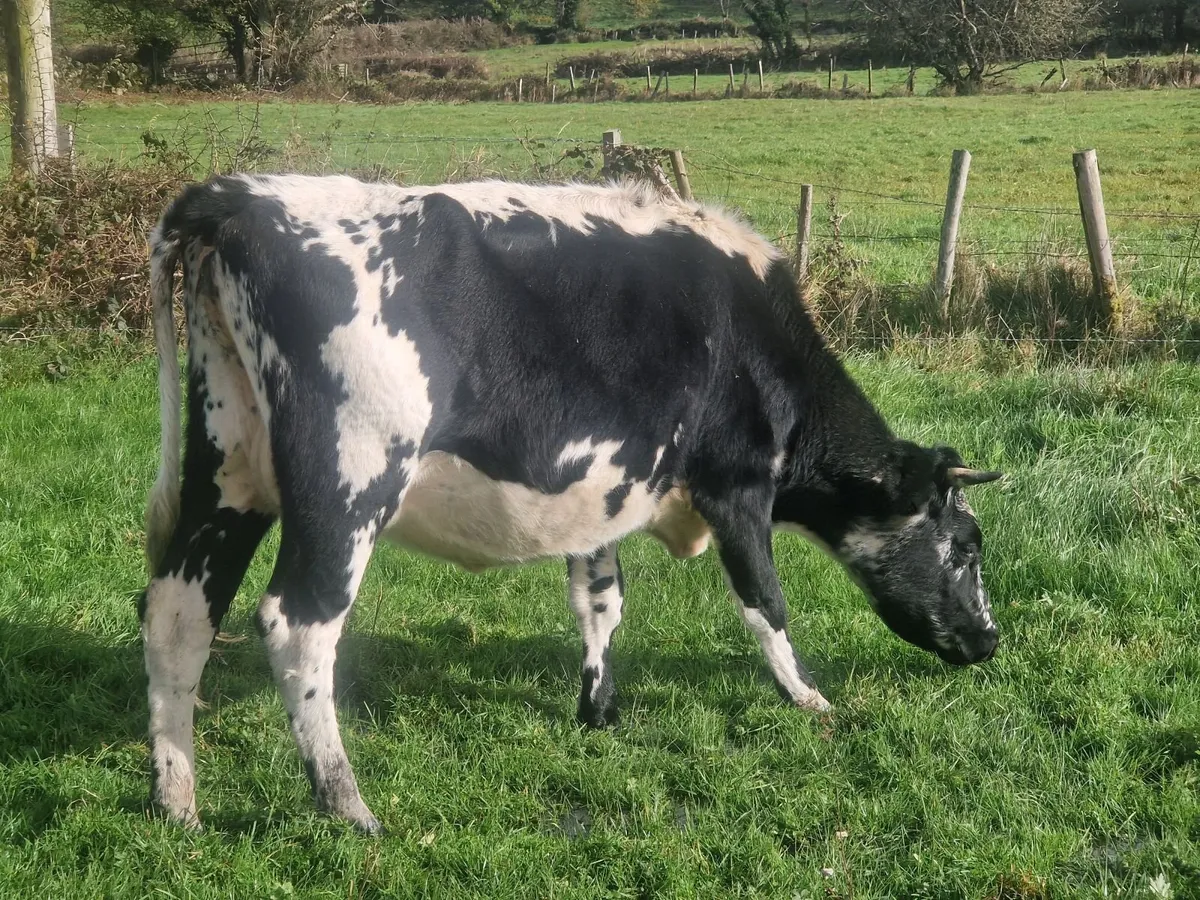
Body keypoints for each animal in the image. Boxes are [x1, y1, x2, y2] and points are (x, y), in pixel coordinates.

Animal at [140, 174, 1002, 834]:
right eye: (966, 545)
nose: (991, 641)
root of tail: (238, 196)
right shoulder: (737, 485)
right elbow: (766, 602)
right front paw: (808, 698)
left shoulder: (604, 495)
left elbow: (599, 601)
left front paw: (598, 709)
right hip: (348, 485)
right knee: (298, 624)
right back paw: (347, 804)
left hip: (228, 472)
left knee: (176, 614)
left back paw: (177, 801)